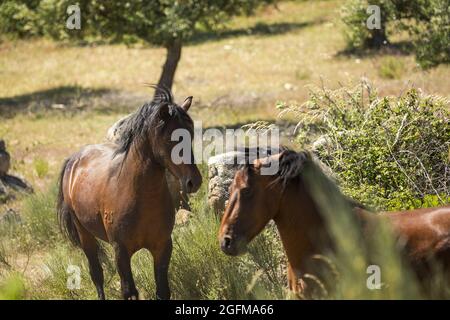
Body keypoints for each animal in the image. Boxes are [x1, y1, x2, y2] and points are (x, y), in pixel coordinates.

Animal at [57, 90, 201, 300]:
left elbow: (162, 291)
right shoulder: (121, 251)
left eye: (190, 135)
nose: (194, 181)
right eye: (170, 138)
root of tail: (74, 160)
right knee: (97, 274)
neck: (140, 198)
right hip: (85, 235)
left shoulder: (162, 247)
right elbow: (129, 291)